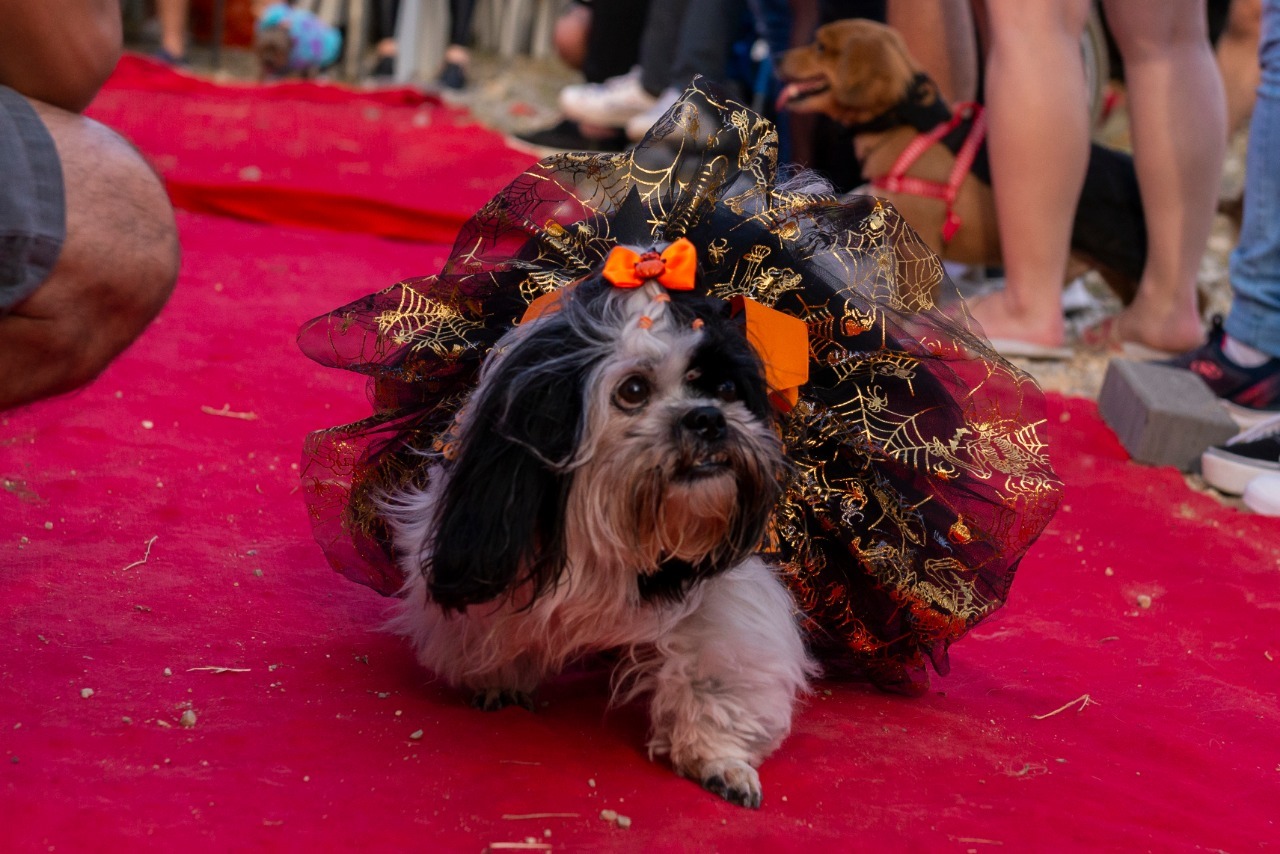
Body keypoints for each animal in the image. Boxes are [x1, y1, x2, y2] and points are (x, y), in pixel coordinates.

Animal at [376, 241, 808, 809]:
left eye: (725, 387)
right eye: (633, 389)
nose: (709, 418)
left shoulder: (730, 583)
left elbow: (721, 664)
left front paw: (717, 757)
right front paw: (499, 677)